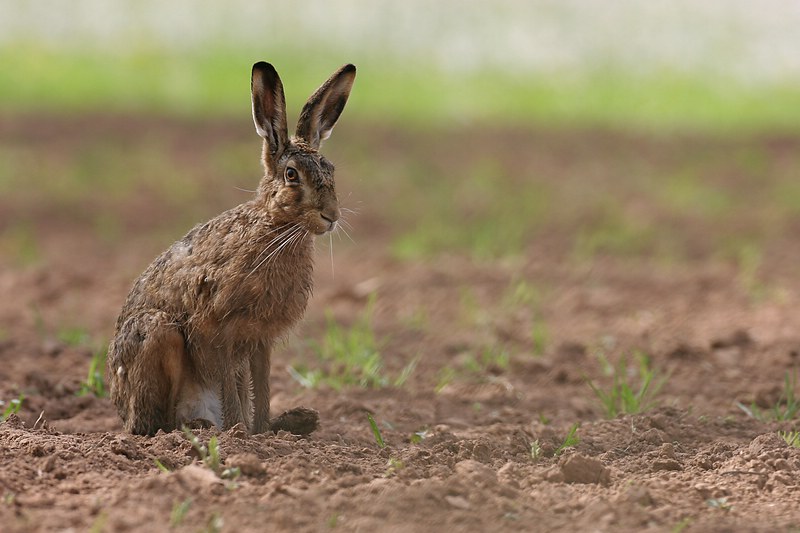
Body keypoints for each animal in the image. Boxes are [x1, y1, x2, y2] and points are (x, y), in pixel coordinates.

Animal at [107, 61, 356, 436]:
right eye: (291, 175)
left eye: (331, 170)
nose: (331, 216)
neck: (274, 229)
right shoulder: (219, 329)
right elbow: (230, 384)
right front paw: (240, 432)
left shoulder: (261, 339)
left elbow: (261, 385)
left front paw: (261, 432)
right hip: (159, 335)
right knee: (153, 423)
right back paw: (198, 427)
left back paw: (296, 420)